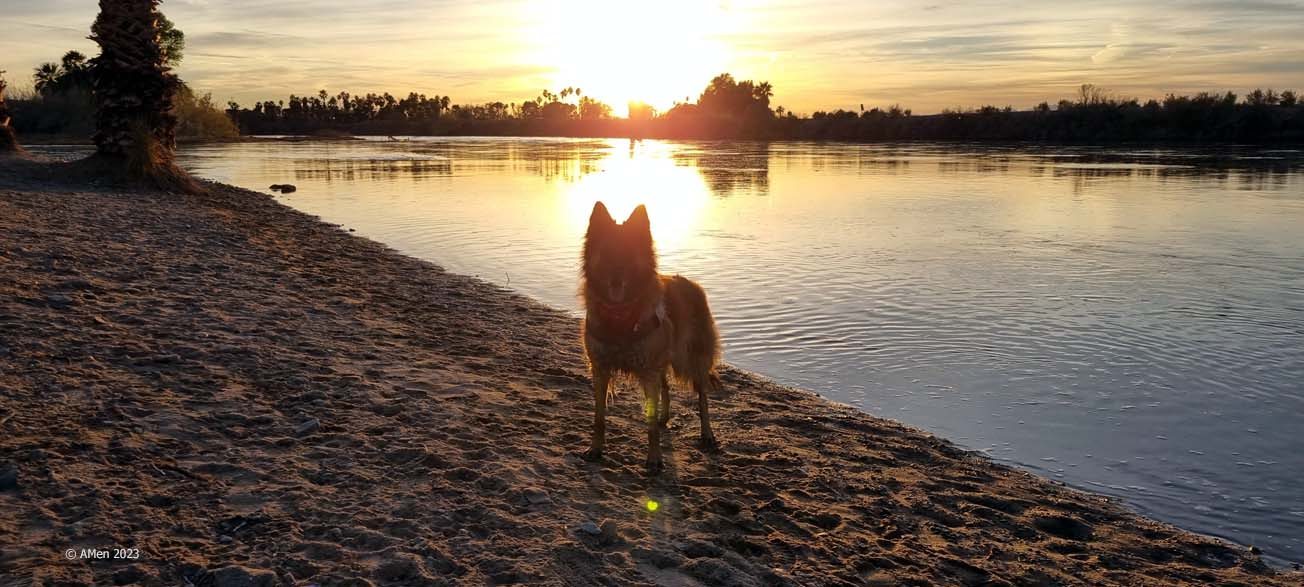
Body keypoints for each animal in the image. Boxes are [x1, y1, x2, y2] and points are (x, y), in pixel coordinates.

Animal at [580, 201, 722, 473]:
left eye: (629, 252)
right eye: (607, 252)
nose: (616, 277)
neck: (620, 317)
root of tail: (692, 285)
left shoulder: (647, 371)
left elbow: (651, 426)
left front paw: (654, 459)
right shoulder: (601, 368)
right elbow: (599, 417)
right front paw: (596, 449)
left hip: (690, 361)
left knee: (703, 398)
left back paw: (707, 433)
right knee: (666, 388)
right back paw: (665, 417)